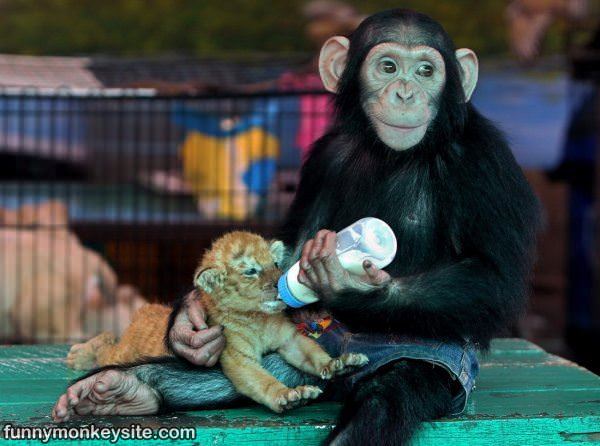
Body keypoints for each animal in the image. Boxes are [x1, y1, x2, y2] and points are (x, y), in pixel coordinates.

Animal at [50, 9, 540, 446]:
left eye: (426, 70)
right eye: (388, 66)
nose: (406, 92)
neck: (393, 153)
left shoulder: (484, 162)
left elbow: (493, 278)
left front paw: (348, 283)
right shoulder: (325, 155)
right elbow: (296, 237)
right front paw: (188, 321)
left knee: (384, 400)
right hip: (303, 339)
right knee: (220, 376)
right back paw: (121, 389)